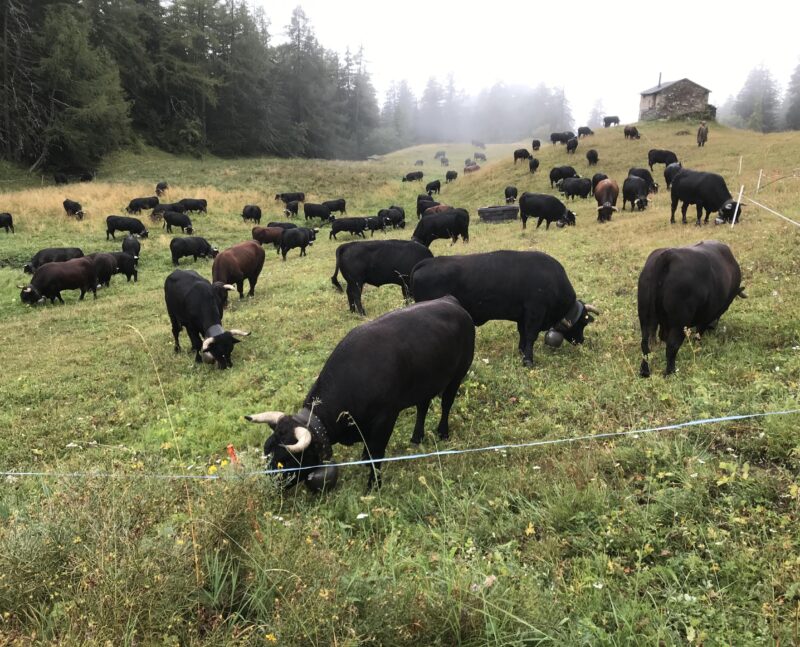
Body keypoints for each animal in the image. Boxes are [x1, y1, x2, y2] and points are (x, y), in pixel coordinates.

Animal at [245, 296, 476, 488]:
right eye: (267, 451)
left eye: (284, 461)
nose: (268, 486)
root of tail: (450, 301)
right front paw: (365, 461)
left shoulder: (385, 419)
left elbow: (377, 453)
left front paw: (374, 484)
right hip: (425, 382)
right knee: (423, 406)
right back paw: (417, 436)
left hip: (458, 374)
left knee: (446, 403)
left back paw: (443, 432)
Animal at [416, 251, 596, 368]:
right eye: (584, 322)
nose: (581, 340)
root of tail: (427, 262)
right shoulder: (535, 312)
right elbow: (531, 336)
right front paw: (528, 361)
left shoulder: (523, 317)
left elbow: (523, 335)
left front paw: (522, 352)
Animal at [636, 242, 744, 374]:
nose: (712, 327)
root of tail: (669, 255)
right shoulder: (706, 316)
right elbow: (698, 333)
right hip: (679, 322)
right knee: (672, 346)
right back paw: (670, 372)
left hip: (646, 317)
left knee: (645, 344)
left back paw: (645, 372)